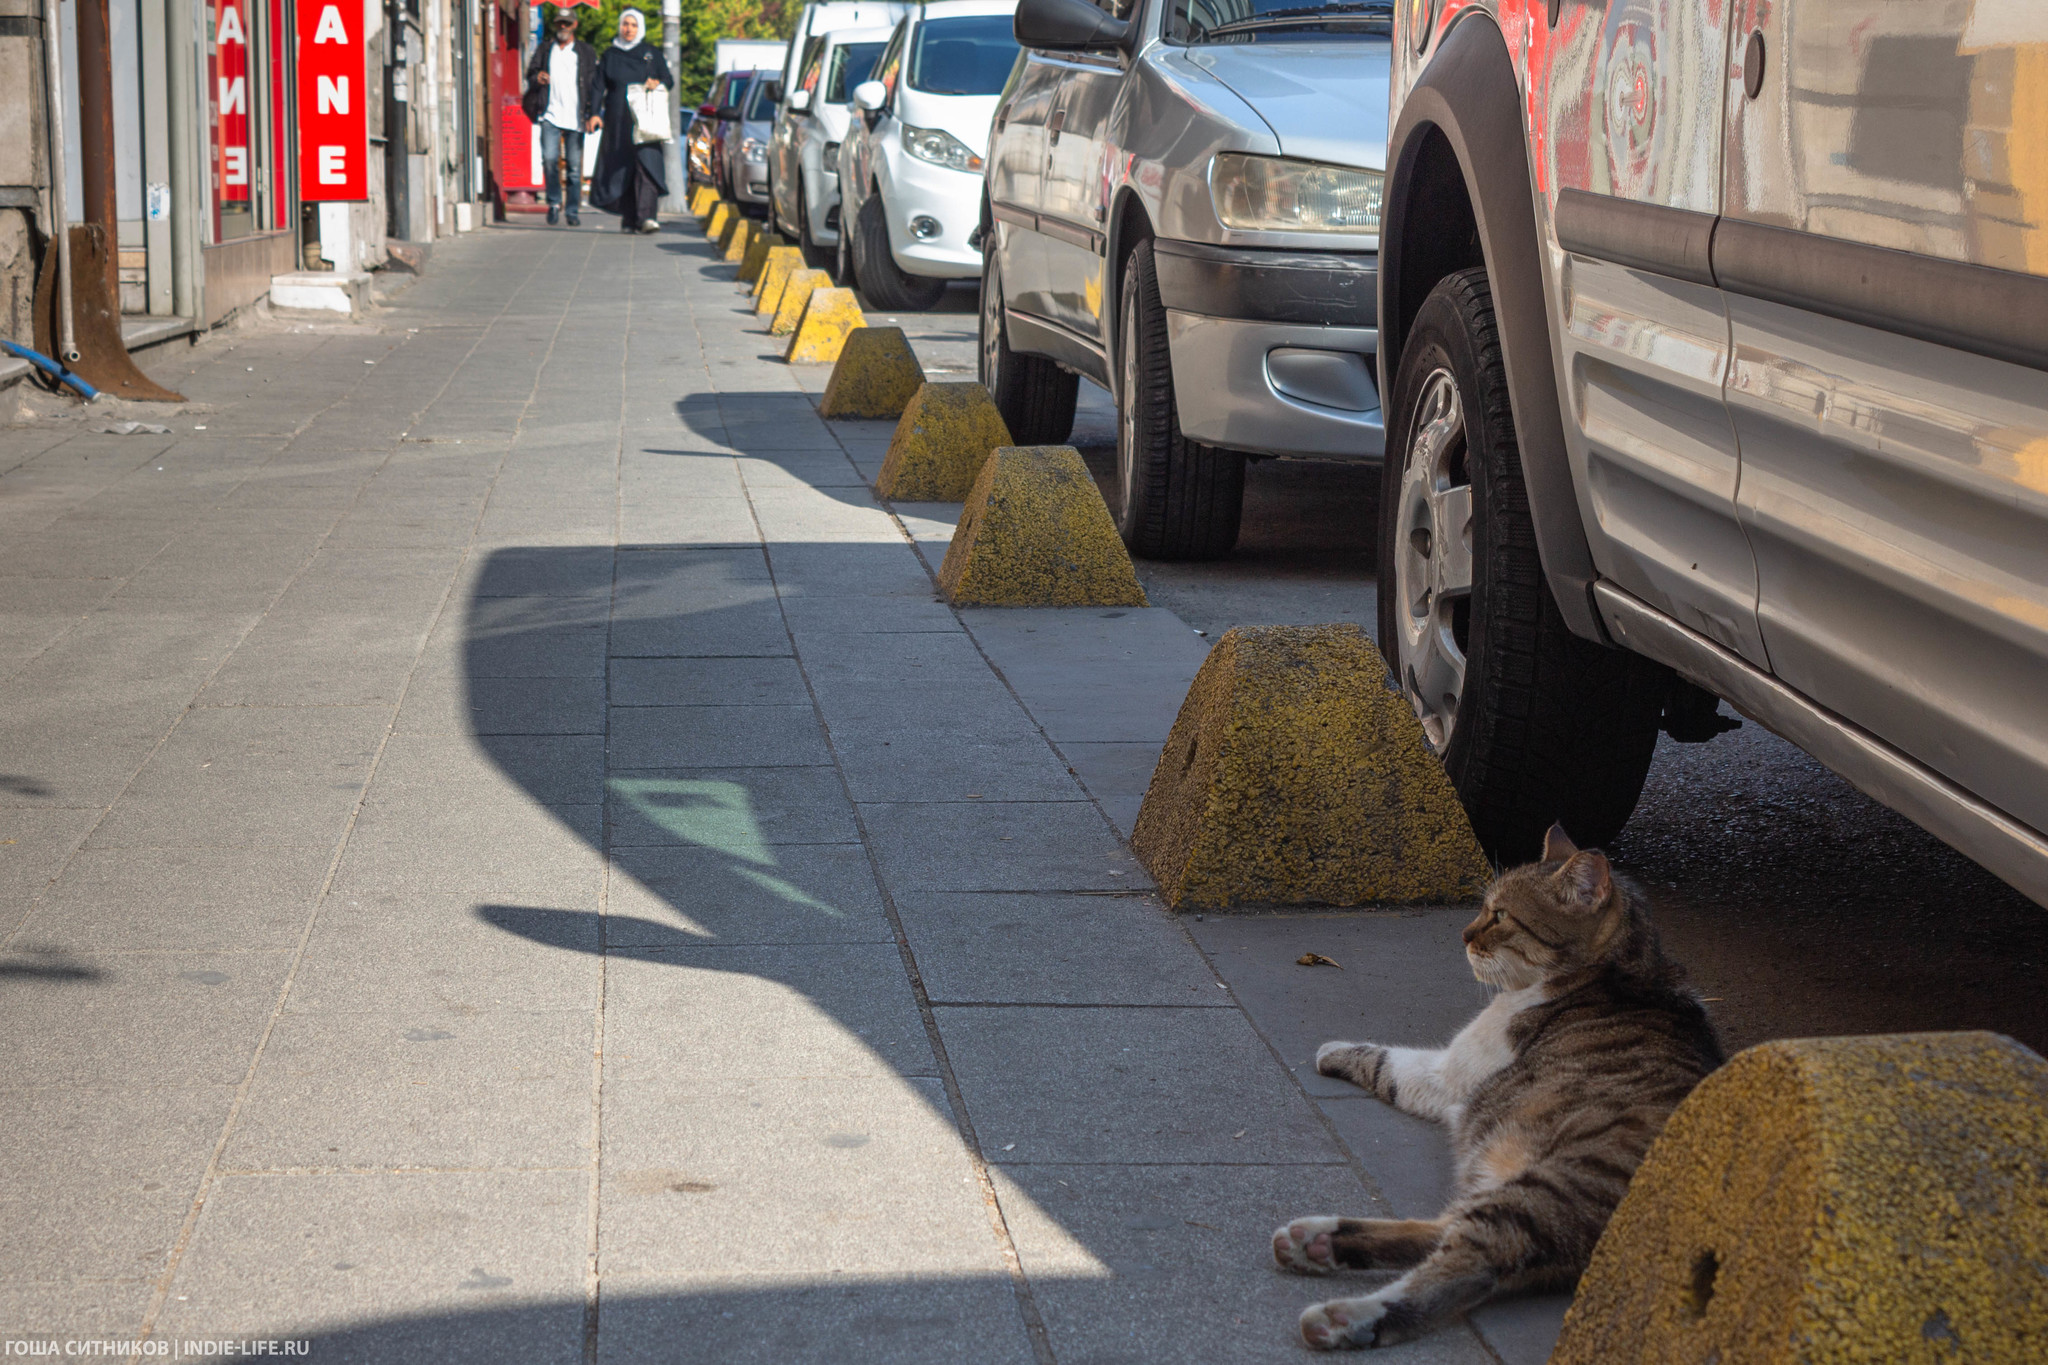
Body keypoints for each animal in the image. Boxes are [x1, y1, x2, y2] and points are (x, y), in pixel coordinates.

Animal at [1277, 826, 1728, 1350]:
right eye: (1483, 909)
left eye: (1501, 916)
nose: (1464, 934)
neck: (1617, 971)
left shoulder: (1447, 1075)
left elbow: (1385, 1062)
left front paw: (1332, 1051)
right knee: (1443, 1230)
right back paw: (1316, 1241)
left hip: (1547, 1193)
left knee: (1464, 1266)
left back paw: (1345, 1316)